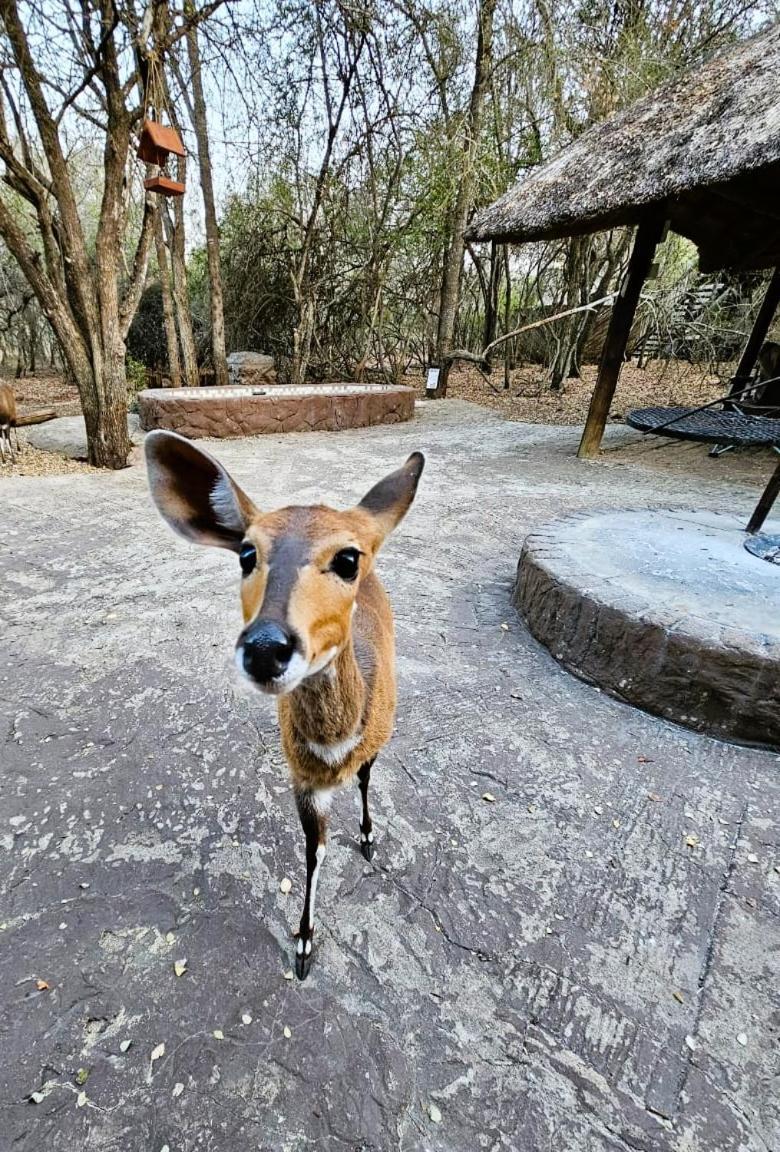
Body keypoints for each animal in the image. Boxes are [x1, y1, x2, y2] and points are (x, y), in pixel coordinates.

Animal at [146, 433, 426, 981]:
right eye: (246, 553)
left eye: (347, 559)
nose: (265, 647)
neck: (333, 748)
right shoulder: (303, 780)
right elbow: (314, 851)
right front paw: (303, 946)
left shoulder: (373, 741)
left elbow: (362, 786)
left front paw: (366, 839)